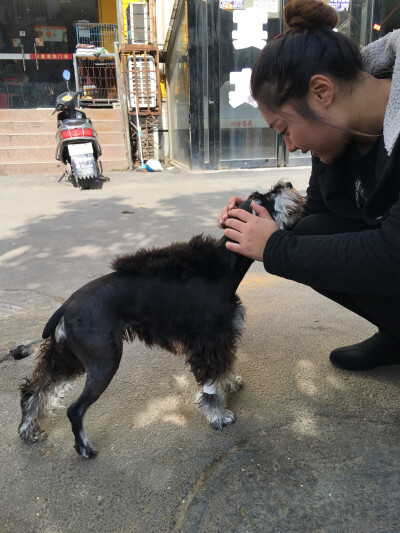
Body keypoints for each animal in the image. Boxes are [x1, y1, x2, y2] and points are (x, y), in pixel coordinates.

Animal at [18, 180, 304, 458]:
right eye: (263, 198)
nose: (289, 183)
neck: (224, 267)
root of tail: (66, 306)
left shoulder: (224, 336)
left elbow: (226, 365)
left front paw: (230, 383)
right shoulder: (209, 341)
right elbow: (211, 382)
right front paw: (218, 416)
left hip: (70, 357)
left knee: (35, 391)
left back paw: (28, 430)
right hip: (104, 362)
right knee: (74, 409)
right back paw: (85, 449)